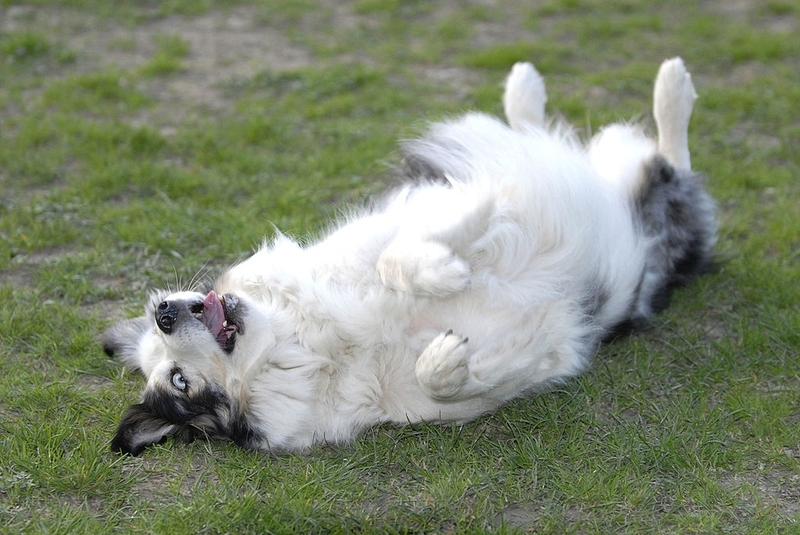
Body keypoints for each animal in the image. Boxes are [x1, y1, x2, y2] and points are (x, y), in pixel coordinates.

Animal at [103, 58, 716, 456]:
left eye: (171, 367)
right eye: (179, 382)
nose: (163, 310)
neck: (318, 344)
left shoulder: (390, 225)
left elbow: (400, 257)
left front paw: (460, 244)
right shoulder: (531, 361)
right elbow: (447, 378)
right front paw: (446, 358)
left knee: (635, 151)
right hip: (655, 240)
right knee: (671, 173)